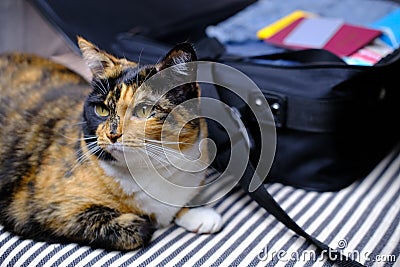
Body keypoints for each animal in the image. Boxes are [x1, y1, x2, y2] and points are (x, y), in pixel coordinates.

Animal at [0, 37, 222, 251]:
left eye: (143, 110)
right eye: (102, 110)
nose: (112, 134)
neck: (148, 172)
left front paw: (197, 214)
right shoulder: (37, 209)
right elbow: (137, 229)